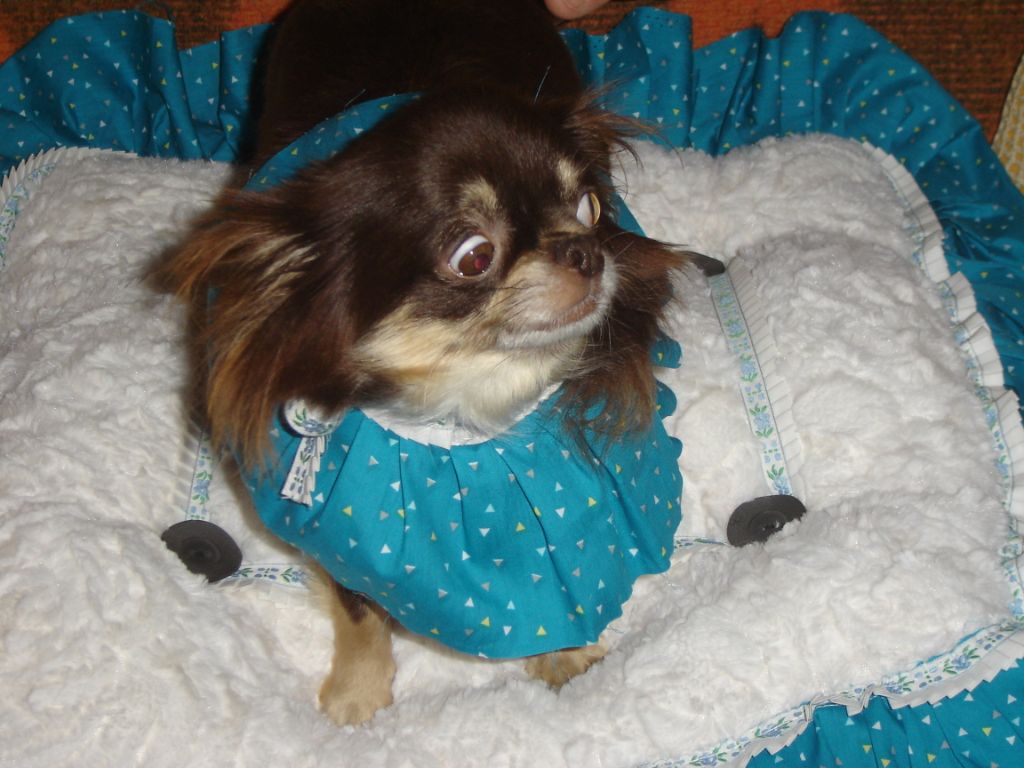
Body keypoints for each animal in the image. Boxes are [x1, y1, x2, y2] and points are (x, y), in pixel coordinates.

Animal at [159, 0, 687, 726]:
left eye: (590, 206)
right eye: (474, 256)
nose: (585, 251)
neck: (469, 409)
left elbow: (565, 580)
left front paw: (567, 658)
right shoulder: (345, 537)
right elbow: (359, 616)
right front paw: (356, 697)